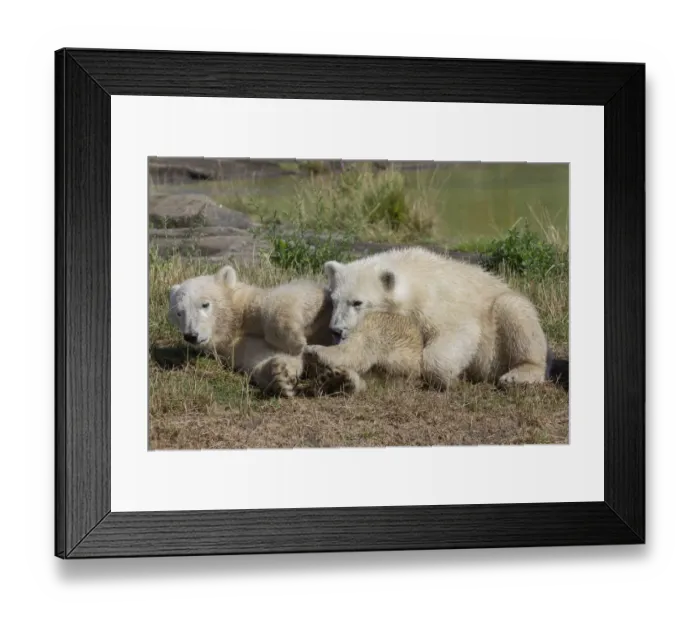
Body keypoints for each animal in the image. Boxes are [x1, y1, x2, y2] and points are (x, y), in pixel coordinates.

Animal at [322, 246, 552, 390]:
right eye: (334, 300)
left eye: (357, 302)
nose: (336, 330)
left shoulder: (439, 304)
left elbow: (458, 333)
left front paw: (449, 378)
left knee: (515, 311)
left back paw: (518, 375)